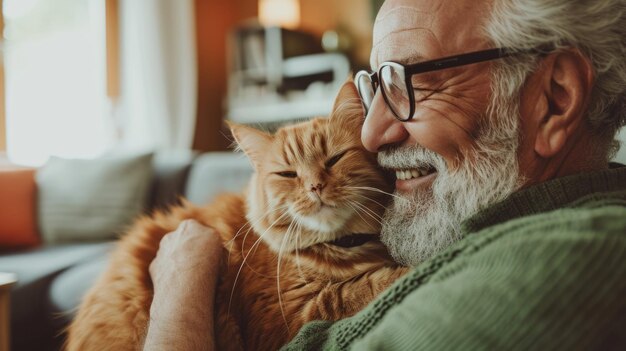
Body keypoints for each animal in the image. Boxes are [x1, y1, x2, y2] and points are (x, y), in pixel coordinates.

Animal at [66, 81, 408, 350]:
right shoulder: (288, 317)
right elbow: (359, 290)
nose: (315, 186)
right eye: (287, 174)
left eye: (335, 159)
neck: (344, 247)